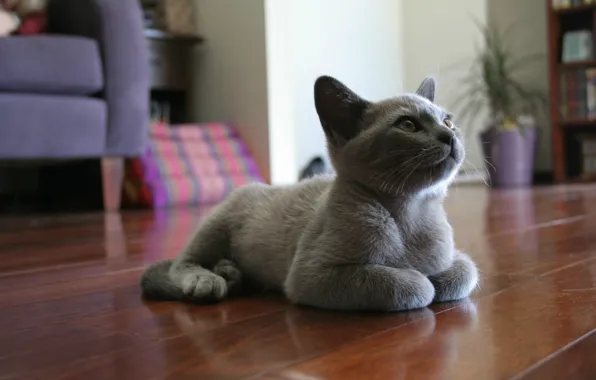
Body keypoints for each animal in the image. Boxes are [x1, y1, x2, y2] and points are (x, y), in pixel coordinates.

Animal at [140, 75, 480, 312]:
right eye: (408, 125)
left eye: (447, 121)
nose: (449, 135)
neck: (411, 212)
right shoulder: (313, 274)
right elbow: (410, 284)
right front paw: (421, 280)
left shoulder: (455, 257)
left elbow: (464, 272)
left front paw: (436, 277)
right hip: (217, 224)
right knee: (182, 263)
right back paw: (209, 280)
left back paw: (231, 273)